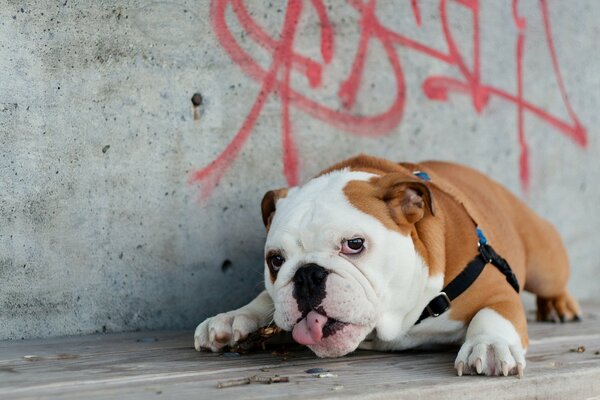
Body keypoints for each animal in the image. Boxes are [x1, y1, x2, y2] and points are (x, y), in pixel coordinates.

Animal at [195, 155, 580, 376]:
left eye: (354, 244)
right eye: (275, 261)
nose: (307, 275)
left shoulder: (497, 288)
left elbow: (492, 314)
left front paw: (487, 345)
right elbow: (265, 299)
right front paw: (230, 319)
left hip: (545, 263)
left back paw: (559, 305)